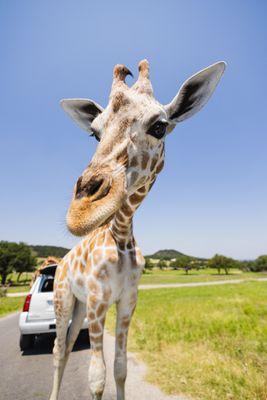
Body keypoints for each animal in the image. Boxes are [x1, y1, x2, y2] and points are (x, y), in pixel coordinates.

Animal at [49, 57, 226, 398]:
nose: (82, 213)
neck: (119, 235)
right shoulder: (98, 299)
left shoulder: (128, 299)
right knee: (59, 350)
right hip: (64, 299)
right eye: (94, 133)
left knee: (68, 343)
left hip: (78, 306)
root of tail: (60, 262)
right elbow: (97, 376)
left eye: (159, 126)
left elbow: (120, 368)